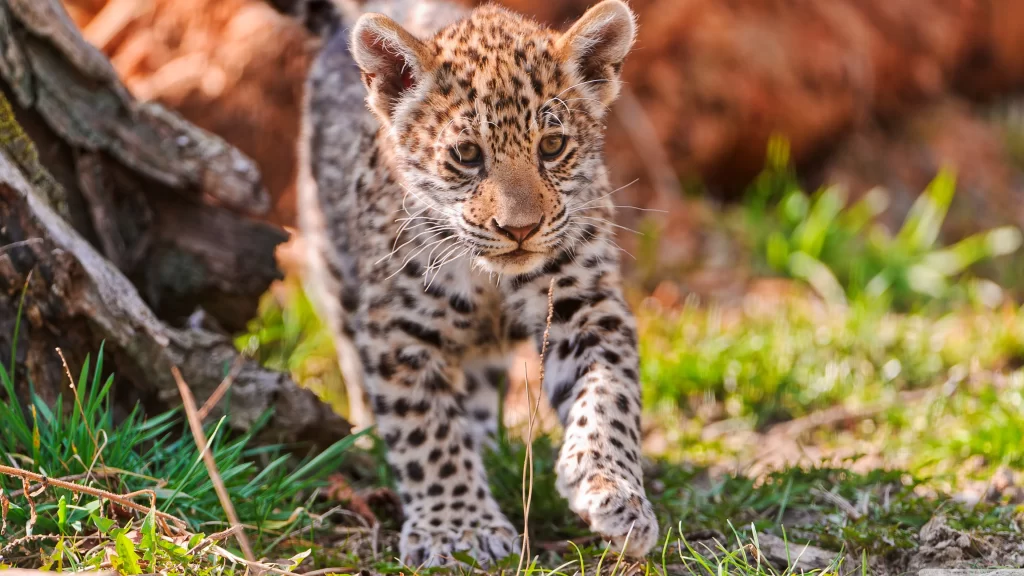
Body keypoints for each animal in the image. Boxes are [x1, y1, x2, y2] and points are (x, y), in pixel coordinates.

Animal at [295, 0, 658, 566]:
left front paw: (612, 489)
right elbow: (426, 430)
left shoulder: (584, 304)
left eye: (552, 146)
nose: (520, 229)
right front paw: (457, 528)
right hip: (331, 263)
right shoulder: (401, 330)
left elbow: (608, 395)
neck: (490, 277)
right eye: (467, 155)